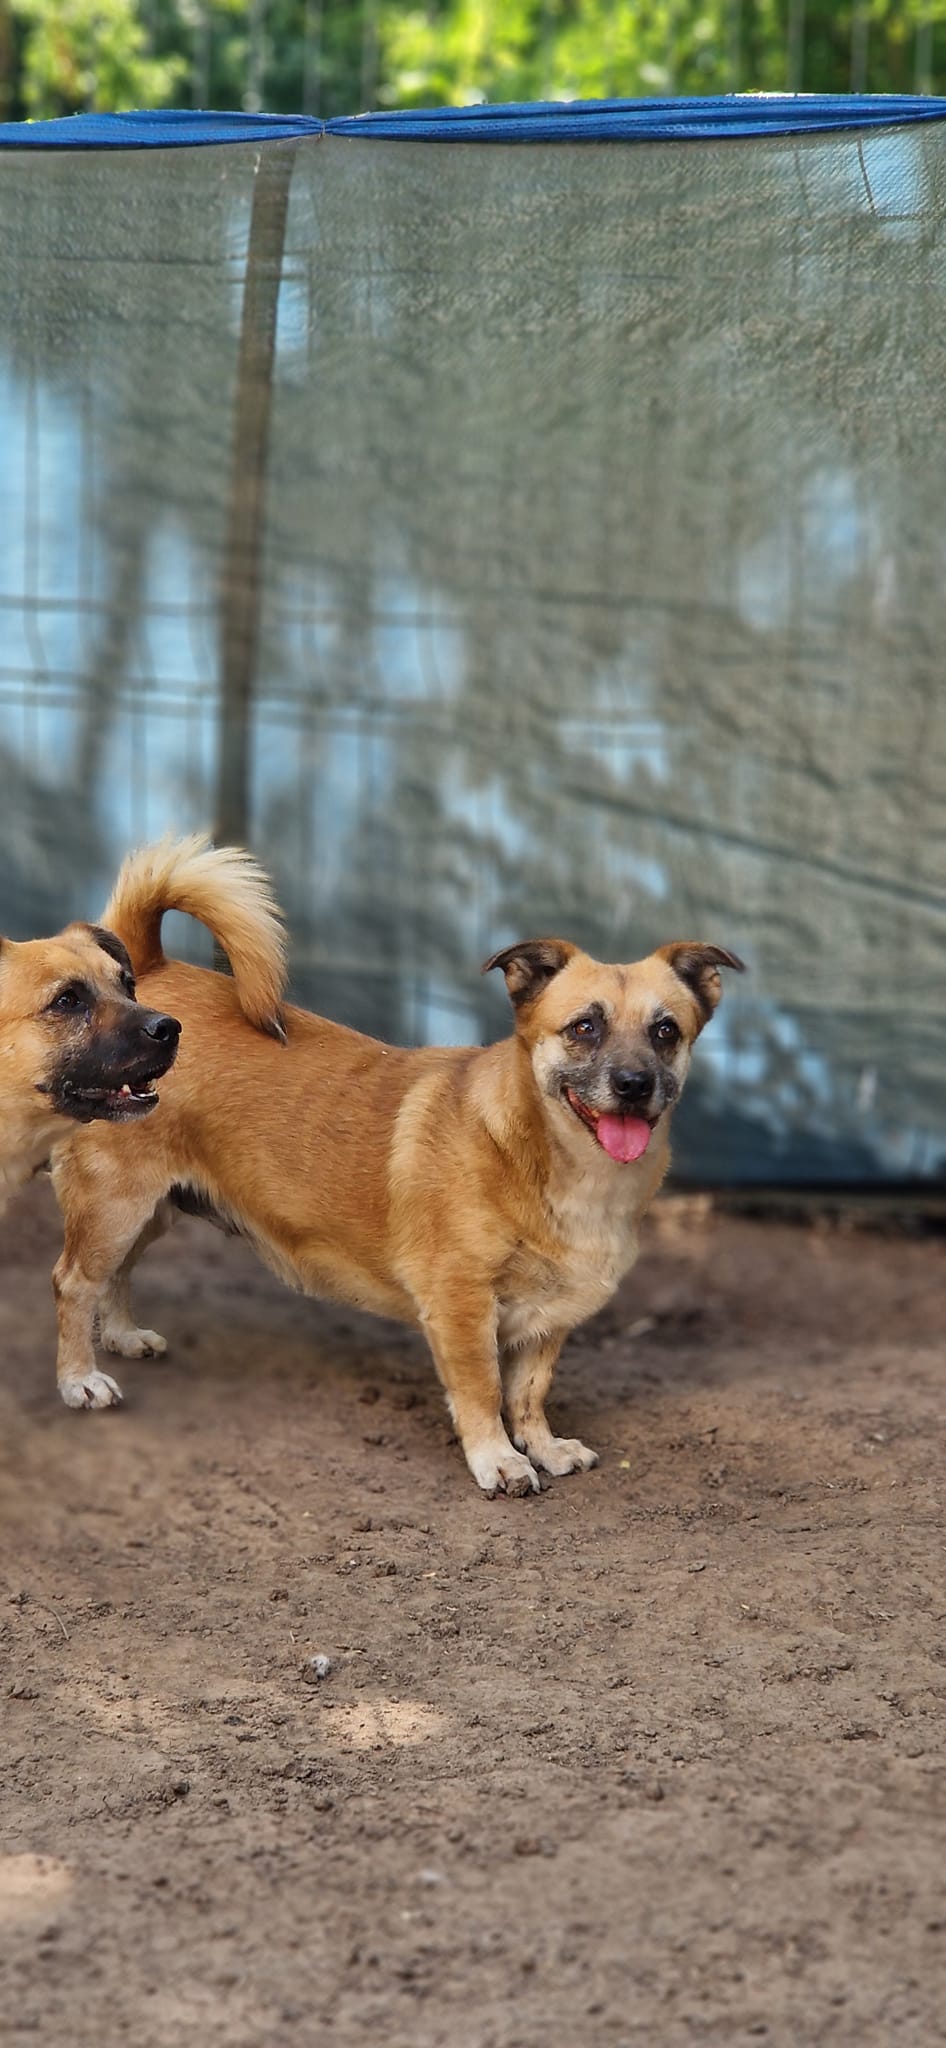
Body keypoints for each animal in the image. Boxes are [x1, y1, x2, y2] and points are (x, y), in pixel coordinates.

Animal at [51, 831, 741, 1490]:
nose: (634, 1084)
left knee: (114, 1275)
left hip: (154, 1209)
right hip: (117, 1203)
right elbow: (483, 1391)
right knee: (73, 1283)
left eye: (666, 1032)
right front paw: (499, 1461)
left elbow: (529, 1393)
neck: (546, 1159)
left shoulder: (548, 1323)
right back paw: (80, 1379)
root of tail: (147, 969)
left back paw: (121, 1336)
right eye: (584, 1028)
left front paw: (543, 1447)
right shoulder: (461, 1305)